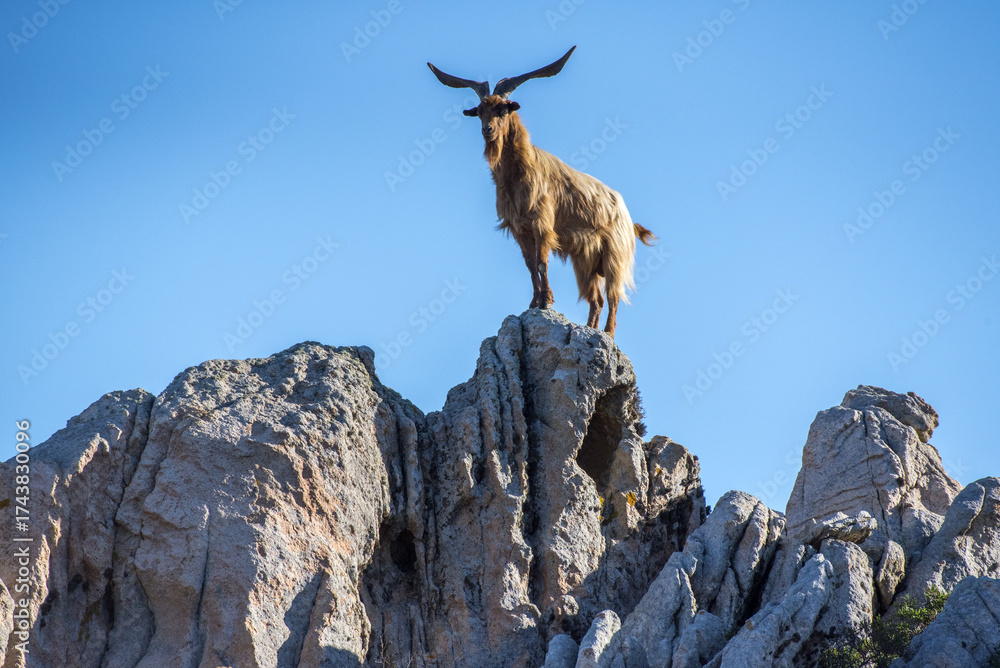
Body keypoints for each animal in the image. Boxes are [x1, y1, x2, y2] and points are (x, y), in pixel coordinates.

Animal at [428, 46, 655, 338]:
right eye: (479, 111)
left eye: (503, 109)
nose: (487, 130)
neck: (517, 174)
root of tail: (628, 217)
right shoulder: (519, 228)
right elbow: (529, 264)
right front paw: (534, 302)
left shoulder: (542, 224)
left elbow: (541, 262)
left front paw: (546, 301)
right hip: (585, 261)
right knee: (596, 299)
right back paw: (589, 329)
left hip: (614, 254)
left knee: (614, 296)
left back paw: (607, 334)